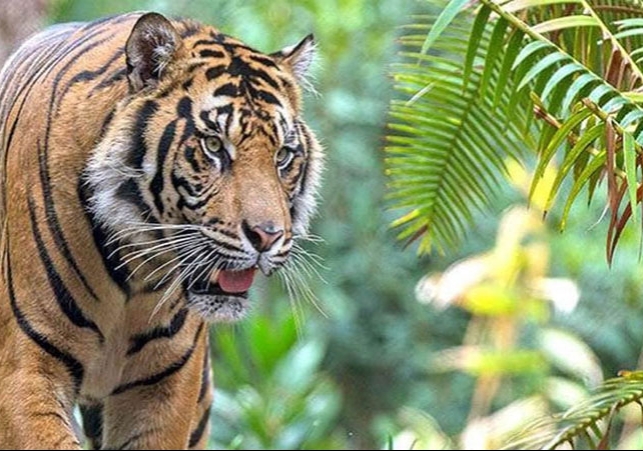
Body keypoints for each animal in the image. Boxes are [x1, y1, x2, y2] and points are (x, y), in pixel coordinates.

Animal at [0, 11, 322, 449]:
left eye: (283, 155)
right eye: (214, 146)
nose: (267, 236)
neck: (134, 277)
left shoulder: (164, 385)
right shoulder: (25, 370)